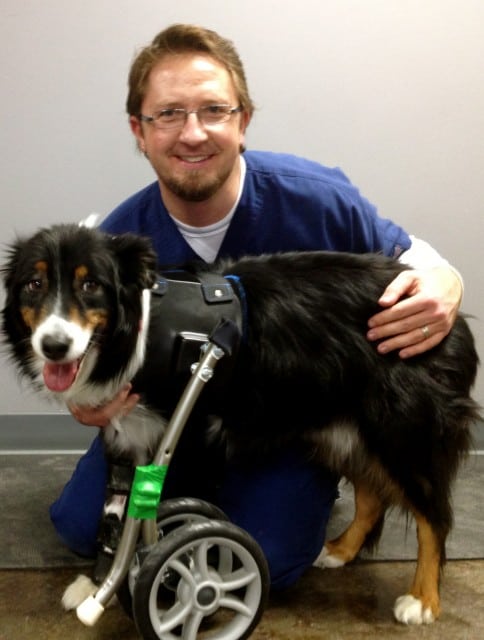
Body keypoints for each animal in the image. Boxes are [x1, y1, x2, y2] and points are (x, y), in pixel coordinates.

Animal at [0, 224, 480, 624]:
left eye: (91, 285)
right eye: (35, 284)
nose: (54, 346)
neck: (141, 331)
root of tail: (452, 318)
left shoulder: (189, 435)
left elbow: (161, 517)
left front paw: (185, 580)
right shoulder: (125, 433)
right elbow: (113, 518)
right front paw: (96, 584)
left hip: (403, 431)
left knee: (433, 516)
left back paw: (422, 600)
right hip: (342, 429)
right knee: (371, 495)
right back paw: (339, 550)